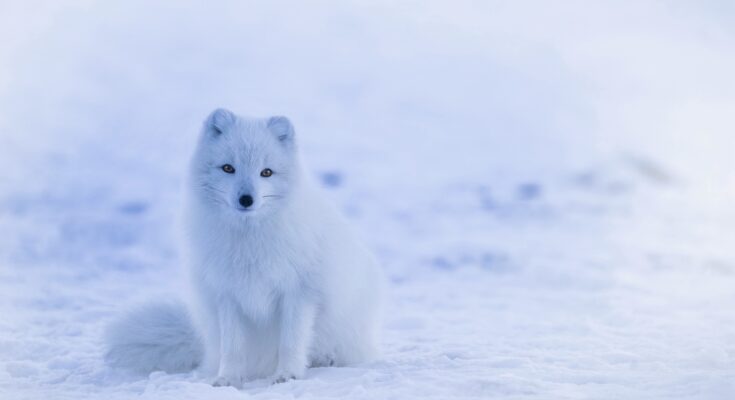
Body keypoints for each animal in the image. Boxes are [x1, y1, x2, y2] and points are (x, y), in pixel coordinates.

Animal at [108, 109, 388, 388]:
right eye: (228, 168)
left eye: (266, 172)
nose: (246, 199)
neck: (249, 240)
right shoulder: (227, 295)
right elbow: (233, 348)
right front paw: (228, 379)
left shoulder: (299, 293)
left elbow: (291, 342)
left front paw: (288, 375)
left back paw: (325, 359)